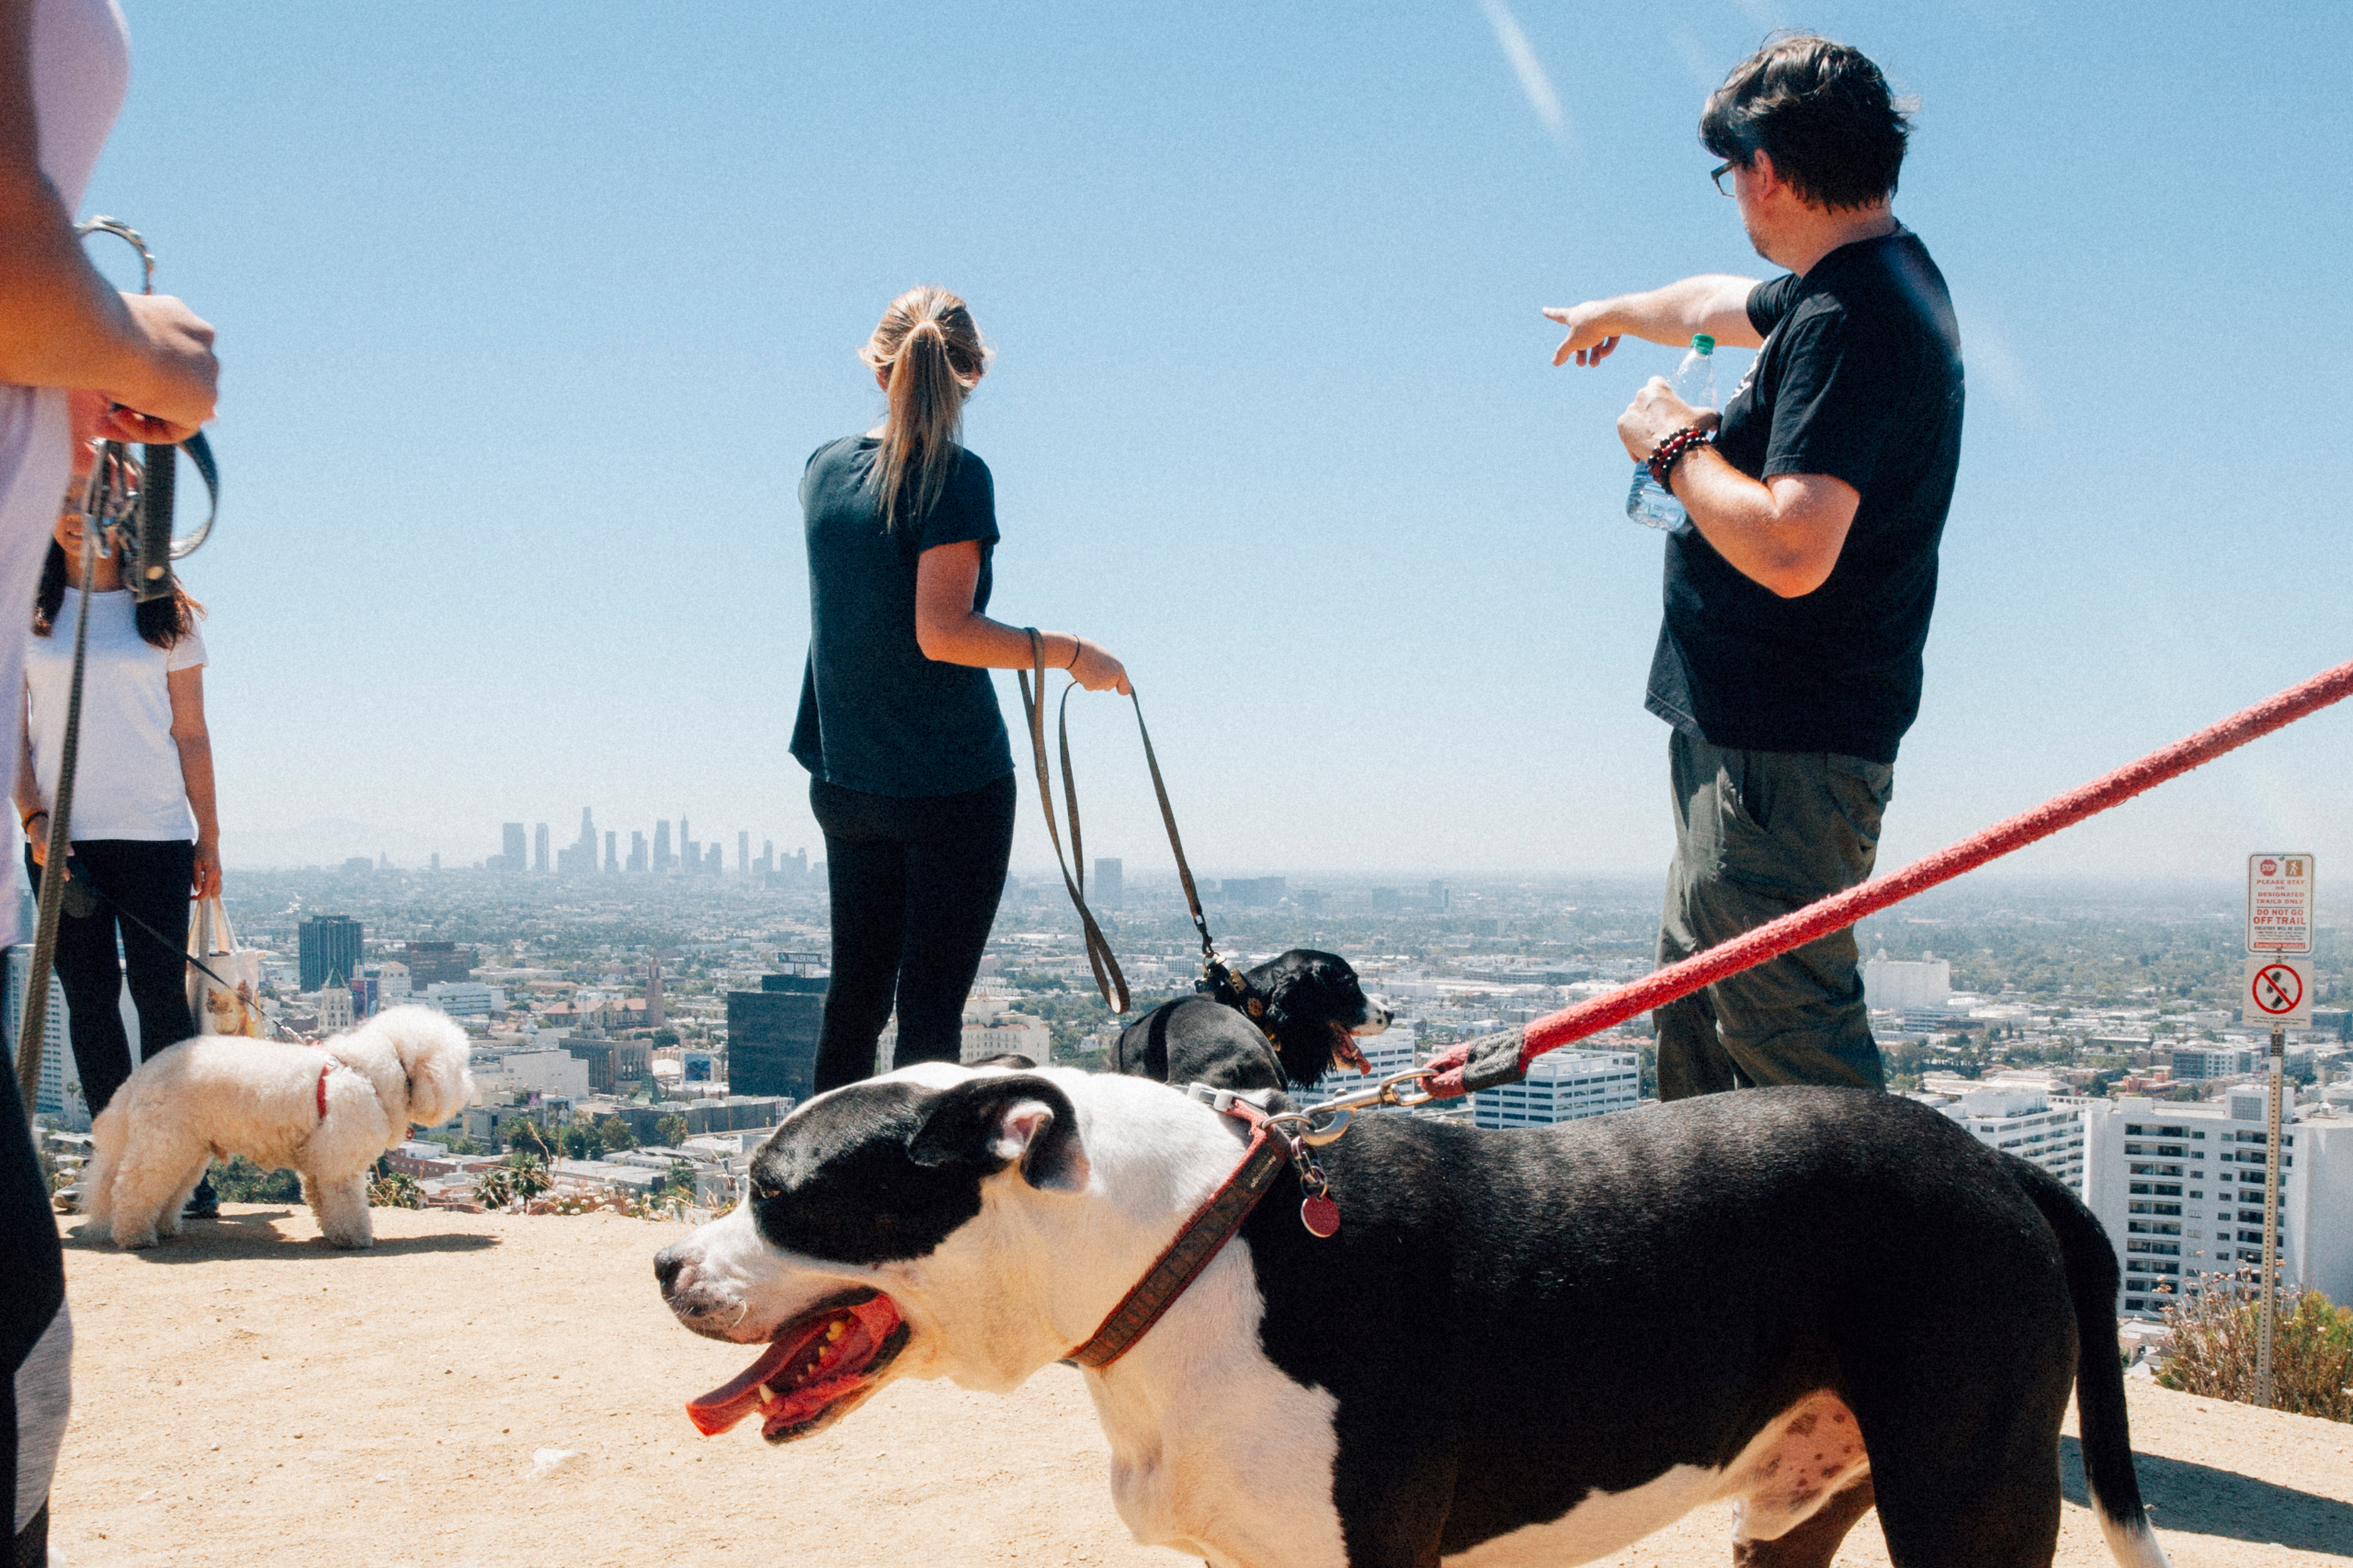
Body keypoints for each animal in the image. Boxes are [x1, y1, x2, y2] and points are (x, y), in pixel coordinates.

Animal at [79, 1003, 472, 1243]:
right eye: (460, 1065)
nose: (470, 1090)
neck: (364, 1073)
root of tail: (142, 1075)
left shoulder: (320, 1164)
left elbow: (321, 1201)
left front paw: (332, 1233)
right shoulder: (340, 1163)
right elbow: (347, 1203)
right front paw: (356, 1238)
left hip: (186, 1150)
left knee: (169, 1192)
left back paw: (164, 1227)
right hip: (164, 1145)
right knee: (132, 1189)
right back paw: (134, 1236)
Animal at [654, 1063, 2174, 1562]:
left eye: (777, 1189)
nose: (663, 1264)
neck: (1184, 1253)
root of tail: (2003, 1167)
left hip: (1968, 1502)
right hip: (1793, 1506)